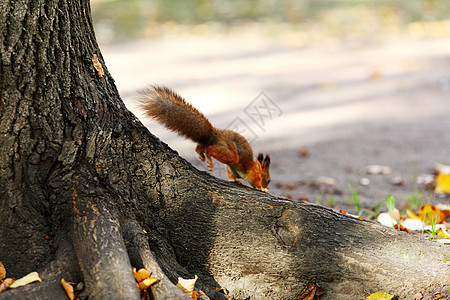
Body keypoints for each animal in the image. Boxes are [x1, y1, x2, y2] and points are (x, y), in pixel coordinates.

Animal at [139, 85, 270, 191]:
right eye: (268, 180)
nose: (266, 184)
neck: (260, 167)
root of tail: (215, 134)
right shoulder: (254, 172)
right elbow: (255, 181)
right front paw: (263, 188)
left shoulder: (233, 171)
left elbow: (232, 178)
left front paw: (238, 181)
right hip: (231, 153)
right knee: (212, 149)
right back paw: (209, 159)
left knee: (201, 147)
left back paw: (201, 154)